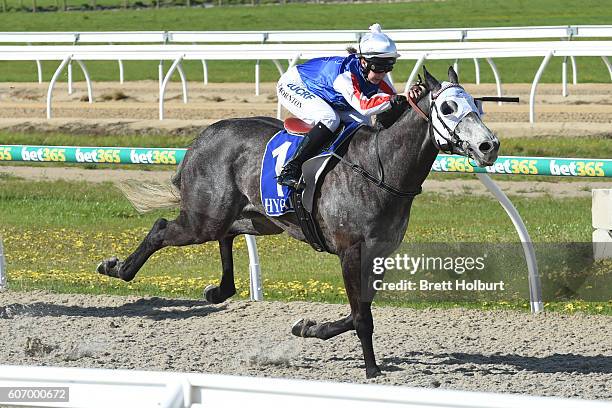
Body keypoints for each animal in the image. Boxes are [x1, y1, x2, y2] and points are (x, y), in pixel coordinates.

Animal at [95, 65, 498, 378]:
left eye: (476, 104)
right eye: (448, 106)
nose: (489, 146)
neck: (378, 167)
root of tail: (201, 137)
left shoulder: (377, 254)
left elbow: (358, 311)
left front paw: (308, 327)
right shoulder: (351, 251)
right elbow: (362, 316)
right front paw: (372, 369)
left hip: (254, 218)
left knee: (227, 234)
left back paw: (219, 290)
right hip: (203, 218)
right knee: (163, 228)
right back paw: (117, 268)